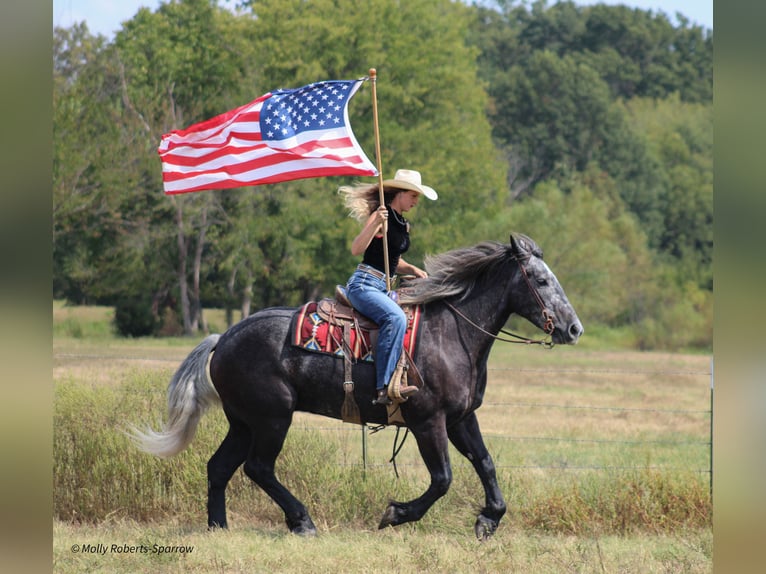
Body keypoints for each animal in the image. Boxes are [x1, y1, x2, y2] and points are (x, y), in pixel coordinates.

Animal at [132, 233, 584, 540]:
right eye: (541, 281)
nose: (574, 329)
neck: (452, 333)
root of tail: (223, 338)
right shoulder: (428, 421)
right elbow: (443, 478)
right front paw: (396, 514)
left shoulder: (460, 419)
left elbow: (485, 464)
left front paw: (489, 519)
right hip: (272, 418)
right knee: (258, 467)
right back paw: (302, 521)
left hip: (243, 421)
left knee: (220, 467)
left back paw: (219, 528)